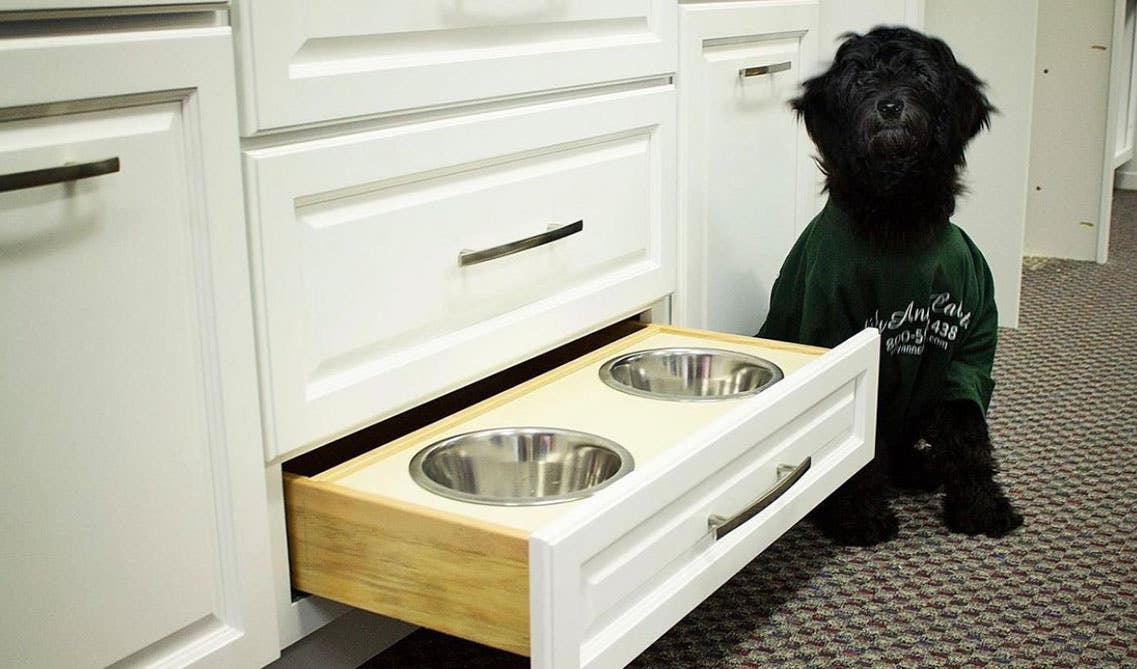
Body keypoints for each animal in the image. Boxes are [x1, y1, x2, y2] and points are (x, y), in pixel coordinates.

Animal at [759, 27, 1027, 548]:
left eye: (921, 75)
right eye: (861, 76)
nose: (889, 106)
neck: (897, 217)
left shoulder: (968, 350)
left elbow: (969, 435)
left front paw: (981, 508)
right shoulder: (840, 331)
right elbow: (859, 447)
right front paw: (860, 518)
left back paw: (921, 469)